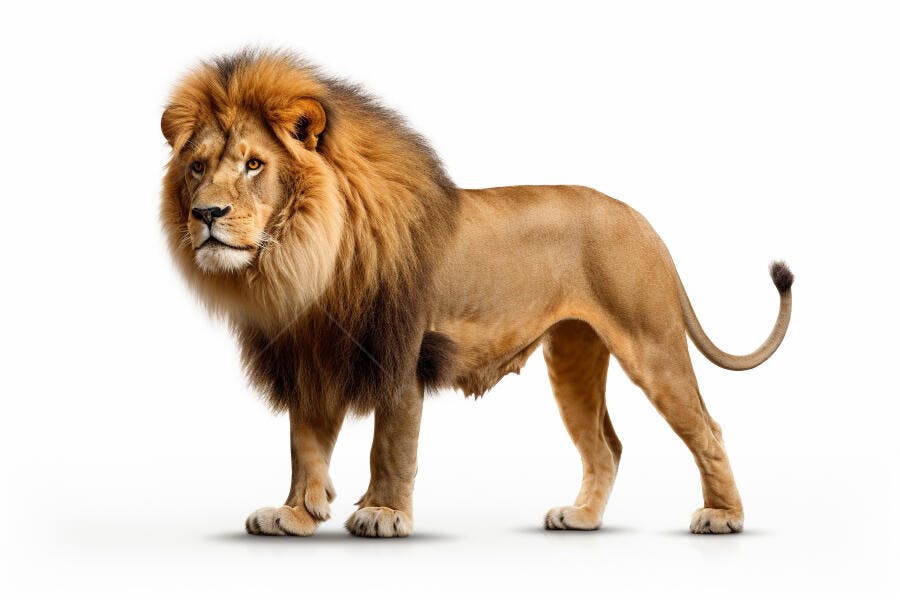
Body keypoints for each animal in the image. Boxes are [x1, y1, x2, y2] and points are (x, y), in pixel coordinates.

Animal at [160, 50, 793, 537]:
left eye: (254, 165)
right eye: (197, 168)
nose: (207, 214)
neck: (308, 260)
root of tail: (642, 221)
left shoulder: (404, 353)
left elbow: (391, 443)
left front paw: (384, 513)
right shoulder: (312, 357)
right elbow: (305, 443)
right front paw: (294, 515)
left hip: (651, 340)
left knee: (706, 429)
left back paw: (723, 517)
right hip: (574, 354)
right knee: (605, 445)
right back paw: (582, 518)